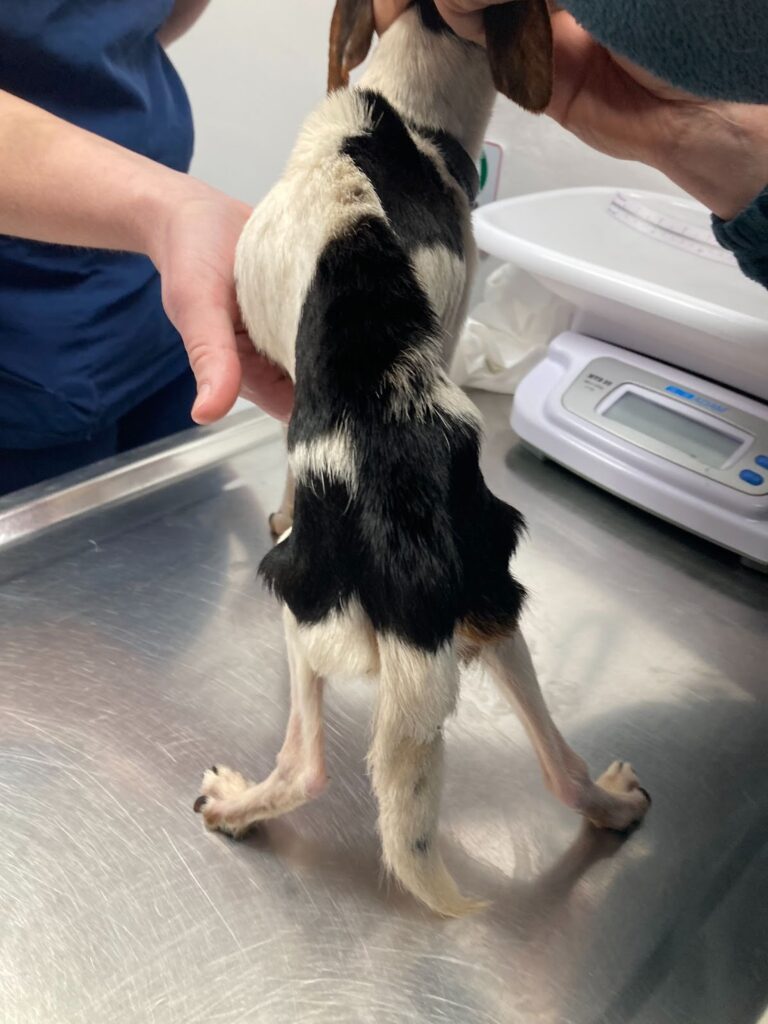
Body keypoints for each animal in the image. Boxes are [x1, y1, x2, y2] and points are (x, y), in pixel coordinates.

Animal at [193, 0, 651, 913]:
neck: (410, 112)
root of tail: (411, 531)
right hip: (498, 605)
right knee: (559, 765)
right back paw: (611, 806)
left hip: (300, 600)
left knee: (307, 765)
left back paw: (239, 805)